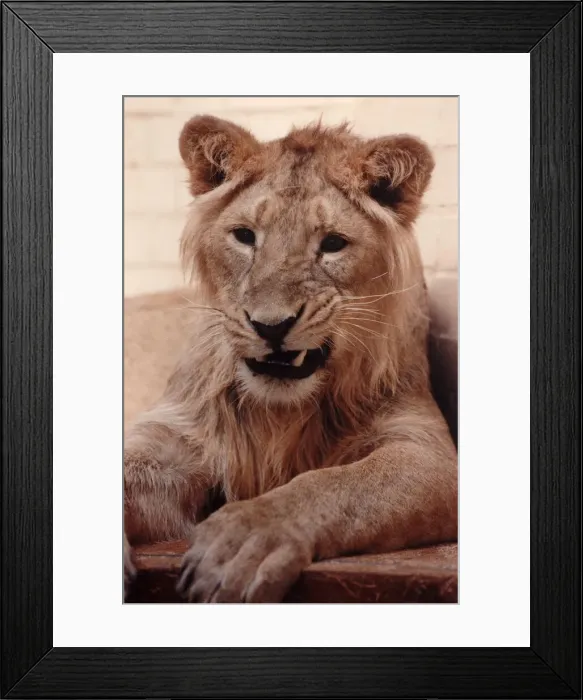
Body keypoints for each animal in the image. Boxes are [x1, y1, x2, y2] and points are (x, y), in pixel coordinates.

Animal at [123, 115, 458, 603]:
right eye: (245, 236)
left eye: (333, 244)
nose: (271, 325)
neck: (280, 413)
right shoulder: (173, 438)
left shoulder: (426, 450)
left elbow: (335, 484)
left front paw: (248, 535)